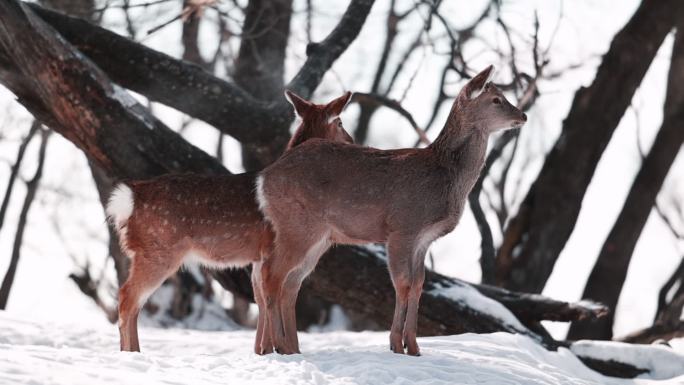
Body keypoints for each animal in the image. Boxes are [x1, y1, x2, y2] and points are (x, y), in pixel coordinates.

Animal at [108, 88, 352, 352]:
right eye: (340, 122)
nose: (351, 142)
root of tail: (130, 198)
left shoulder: (258, 257)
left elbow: (260, 300)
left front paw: (261, 351)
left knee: (131, 302)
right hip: (158, 250)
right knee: (127, 298)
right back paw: (132, 353)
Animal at [258, 65, 528, 354]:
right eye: (497, 99)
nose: (522, 115)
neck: (446, 178)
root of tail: (265, 176)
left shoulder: (424, 239)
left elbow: (419, 285)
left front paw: (414, 347)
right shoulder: (402, 227)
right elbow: (403, 283)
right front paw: (397, 345)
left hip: (317, 237)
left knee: (288, 282)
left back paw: (285, 347)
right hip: (296, 224)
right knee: (270, 275)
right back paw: (277, 346)